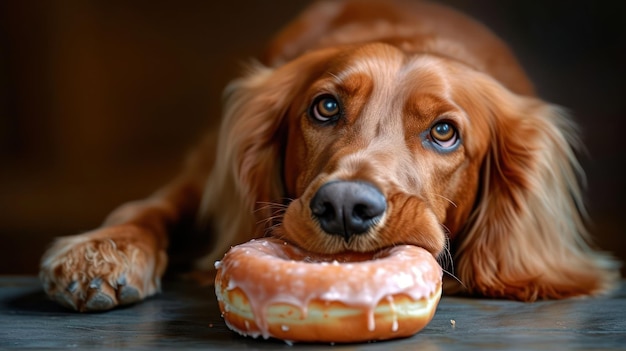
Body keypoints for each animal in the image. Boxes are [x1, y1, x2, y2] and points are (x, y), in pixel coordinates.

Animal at [40, 0, 620, 314]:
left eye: (444, 132)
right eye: (325, 107)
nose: (345, 206)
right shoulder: (204, 169)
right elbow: (151, 206)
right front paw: (102, 250)